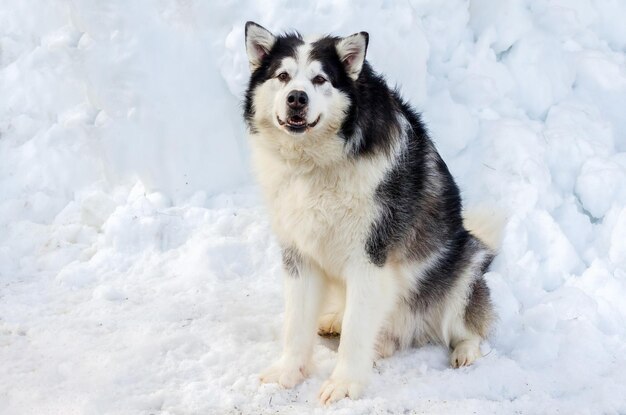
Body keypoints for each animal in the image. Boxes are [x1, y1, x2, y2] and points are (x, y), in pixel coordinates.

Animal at [241, 21, 494, 404]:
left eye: (320, 79)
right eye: (283, 76)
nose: (296, 98)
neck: (318, 164)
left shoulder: (370, 257)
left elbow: (357, 332)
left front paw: (344, 383)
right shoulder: (299, 255)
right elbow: (295, 325)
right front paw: (288, 372)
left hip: (466, 264)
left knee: (468, 324)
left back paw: (464, 350)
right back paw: (336, 319)